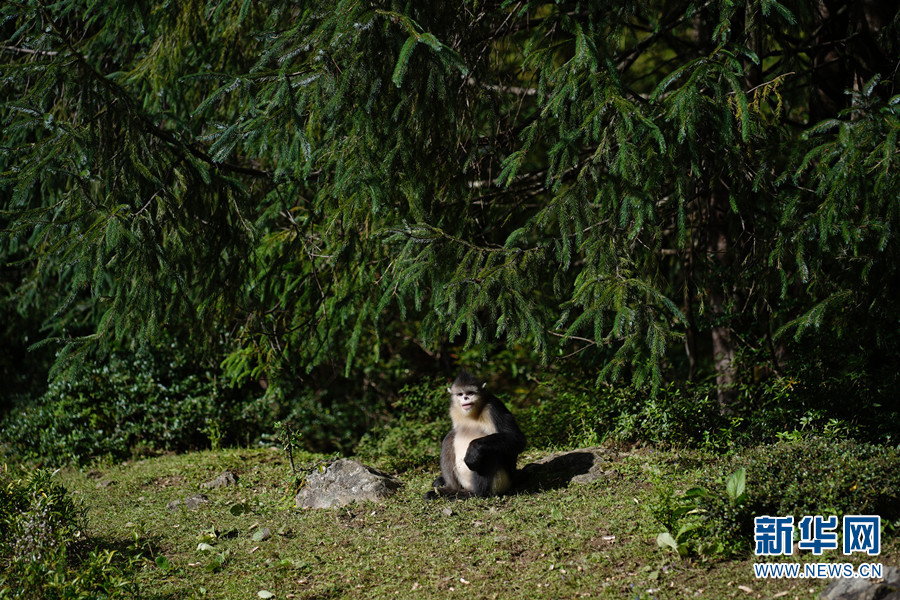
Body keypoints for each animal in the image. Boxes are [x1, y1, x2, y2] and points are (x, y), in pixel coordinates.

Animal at [425, 371, 526, 500]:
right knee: (449, 437)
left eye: (470, 393)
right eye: (460, 394)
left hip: (501, 483)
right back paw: (450, 490)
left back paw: (474, 493)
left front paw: (473, 449)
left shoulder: (494, 406)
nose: (465, 398)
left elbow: (517, 439)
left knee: (490, 451)